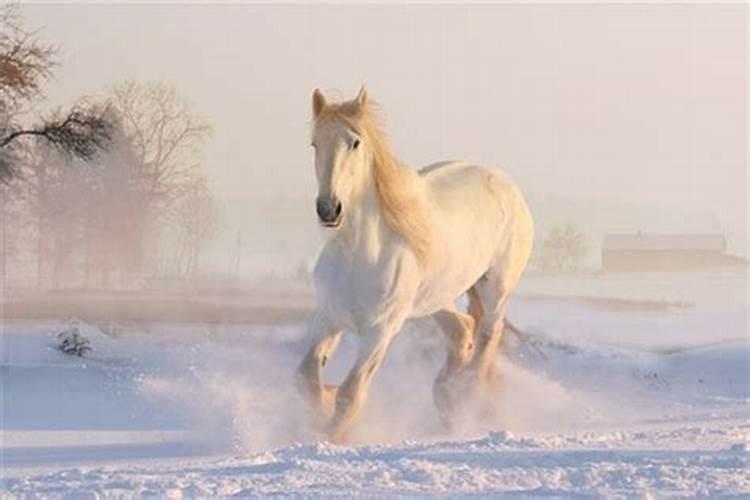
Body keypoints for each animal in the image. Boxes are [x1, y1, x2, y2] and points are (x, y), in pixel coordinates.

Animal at [296, 86, 536, 442]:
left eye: (355, 142)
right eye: (315, 144)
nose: (329, 209)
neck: (361, 254)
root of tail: (506, 184)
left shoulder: (380, 331)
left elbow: (350, 395)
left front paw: (330, 437)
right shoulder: (328, 317)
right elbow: (306, 378)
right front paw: (323, 404)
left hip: (496, 289)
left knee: (486, 339)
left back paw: (466, 399)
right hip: (436, 298)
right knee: (463, 330)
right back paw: (447, 397)